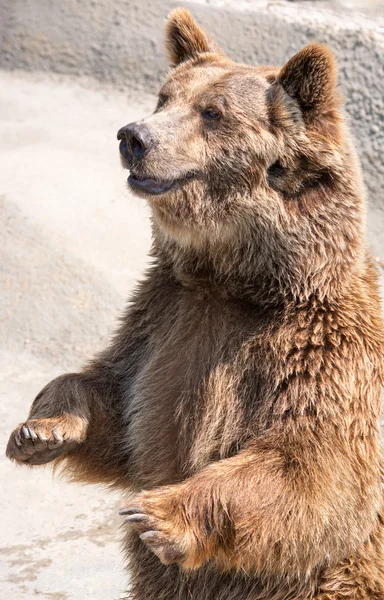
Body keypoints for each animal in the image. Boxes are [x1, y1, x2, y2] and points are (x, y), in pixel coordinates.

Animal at [6, 8, 384, 600]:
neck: (236, 283)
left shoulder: (320, 350)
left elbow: (313, 466)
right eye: (164, 97)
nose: (132, 135)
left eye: (212, 112)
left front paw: (157, 515)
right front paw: (41, 428)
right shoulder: (162, 322)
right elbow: (118, 402)